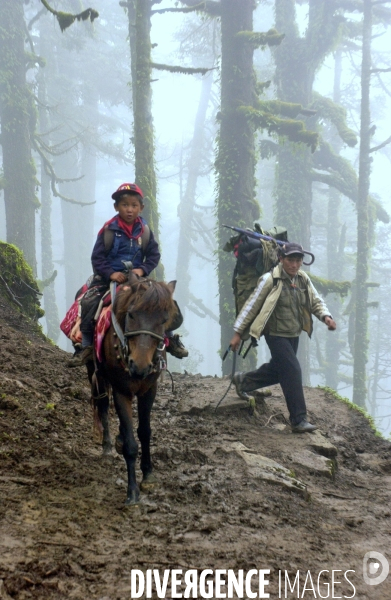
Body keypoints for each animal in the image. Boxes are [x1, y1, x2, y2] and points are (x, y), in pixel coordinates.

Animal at [89, 274, 177, 504]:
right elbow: (130, 442)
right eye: (131, 314)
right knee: (103, 405)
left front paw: (148, 475)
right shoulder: (122, 391)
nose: (139, 366)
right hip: (95, 371)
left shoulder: (149, 390)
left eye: (164, 320)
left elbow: (144, 432)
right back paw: (108, 447)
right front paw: (132, 492)